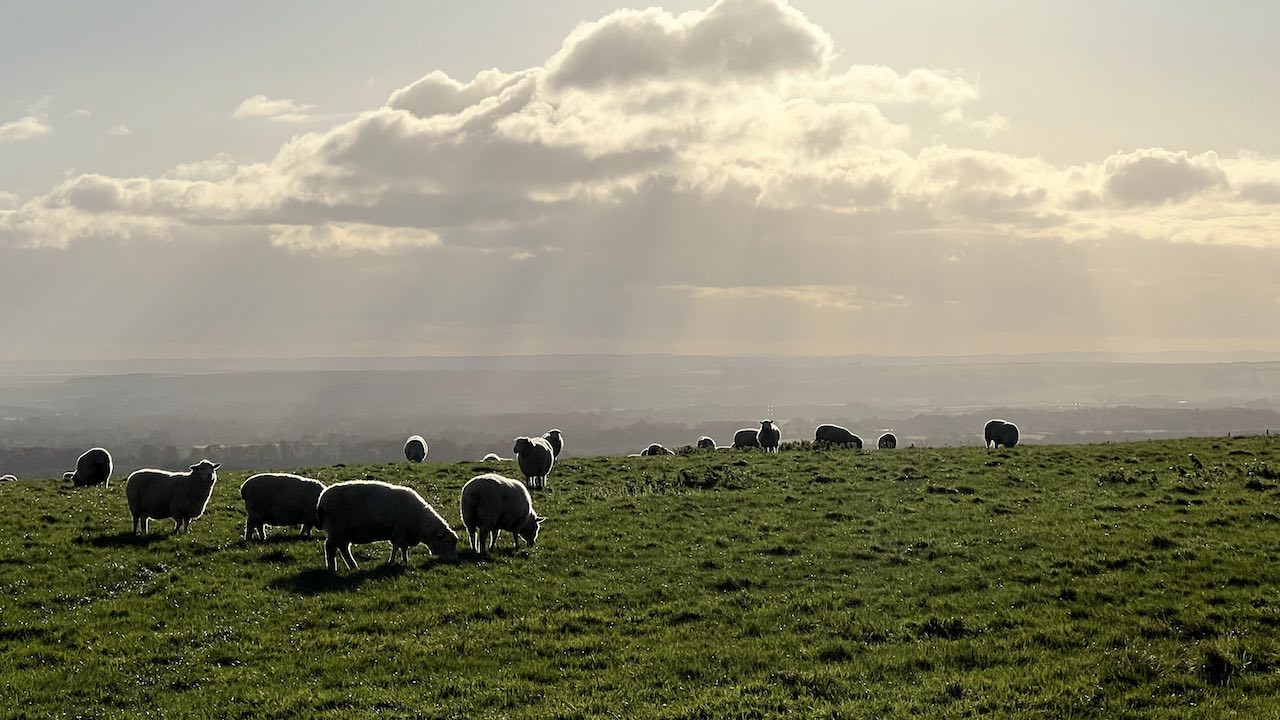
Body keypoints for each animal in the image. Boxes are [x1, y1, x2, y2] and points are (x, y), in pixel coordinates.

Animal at [316, 479, 460, 568]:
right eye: (448, 542)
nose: (454, 560)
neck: (419, 521)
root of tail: (322, 499)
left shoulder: (399, 534)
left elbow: (399, 548)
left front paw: (399, 560)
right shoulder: (400, 532)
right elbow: (400, 547)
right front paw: (400, 561)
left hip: (343, 532)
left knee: (343, 548)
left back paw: (353, 566)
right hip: (336, 529)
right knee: (330, 547)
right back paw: (332, 568)